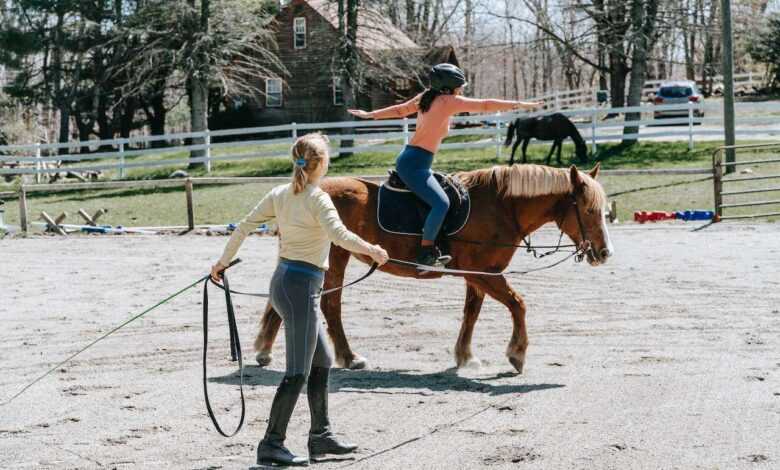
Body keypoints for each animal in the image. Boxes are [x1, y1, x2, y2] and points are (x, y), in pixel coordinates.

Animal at [253, 163, 612, 372]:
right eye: (589, 210)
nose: (604, 252)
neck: (498, 206)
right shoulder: (485, 274)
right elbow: (518, 304)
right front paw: (517, 353)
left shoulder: (478, 276)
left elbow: (471, 312)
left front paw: (465, 355)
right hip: (333, 257)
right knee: (330, 304)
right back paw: (349, 356)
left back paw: (267, 350)